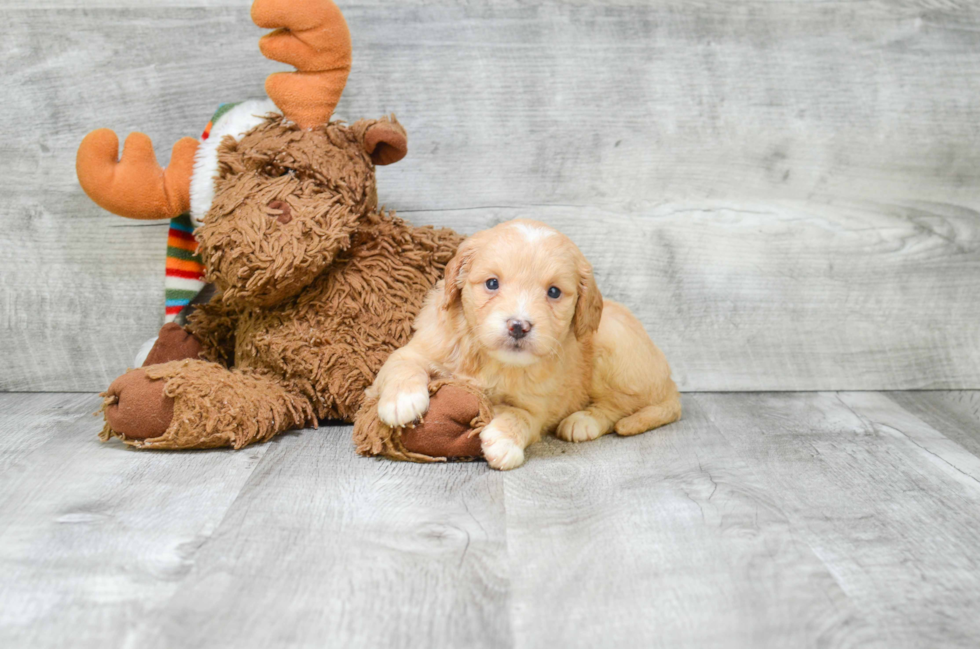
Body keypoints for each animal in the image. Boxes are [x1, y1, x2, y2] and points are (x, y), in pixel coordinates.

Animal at [368, 220, 680, 468]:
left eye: (554, 292)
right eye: (492, 284)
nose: (518, 326)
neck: (492, 361)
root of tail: (670, 382)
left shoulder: (538, 405)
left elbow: (522, 417)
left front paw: (504, 440)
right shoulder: (420, 347)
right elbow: (402, 365)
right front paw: (402, 401)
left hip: (611, 347)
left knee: (619, 406)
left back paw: (583, 421)